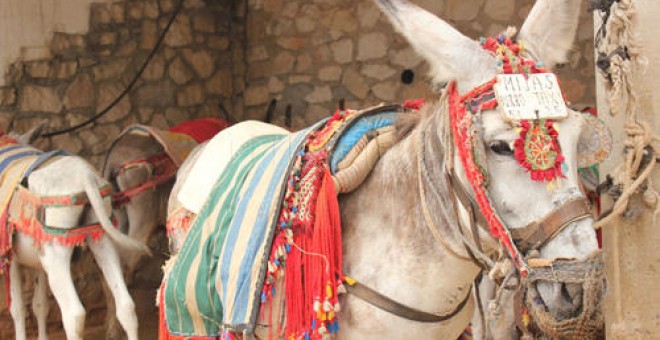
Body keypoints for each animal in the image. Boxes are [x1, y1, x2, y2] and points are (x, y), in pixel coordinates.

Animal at [7, 123, 148, 340]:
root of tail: (85, 177)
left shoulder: (11, 256)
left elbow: (18, 309)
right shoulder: (37, 260)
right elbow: (40, 305)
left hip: (56, 256)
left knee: (74, 314)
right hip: (100, 239)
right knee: (126, 305)